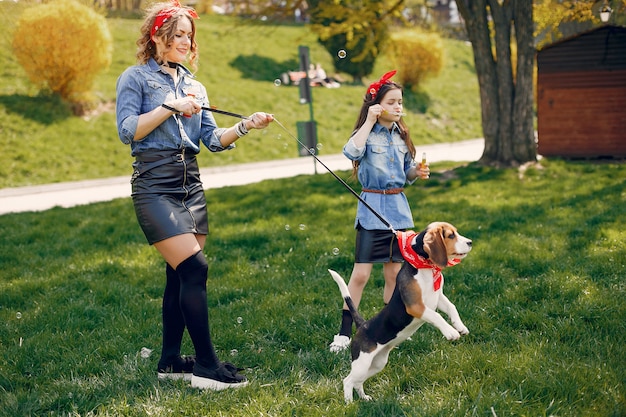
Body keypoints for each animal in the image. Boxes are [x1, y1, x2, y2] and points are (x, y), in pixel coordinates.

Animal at [330, 219, 470, 402]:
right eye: (451, 235)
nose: (470, 242)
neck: (425, 268)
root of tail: (362, 325)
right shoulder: (415, 305)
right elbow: (436, 316)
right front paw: (451, 332)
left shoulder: (438, 297)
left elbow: (452, 308)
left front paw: (460, 327)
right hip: (362, 362)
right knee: (347, 381)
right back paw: (349, 403)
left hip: (377, 363)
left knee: (357, 382)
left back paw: (364, 398)